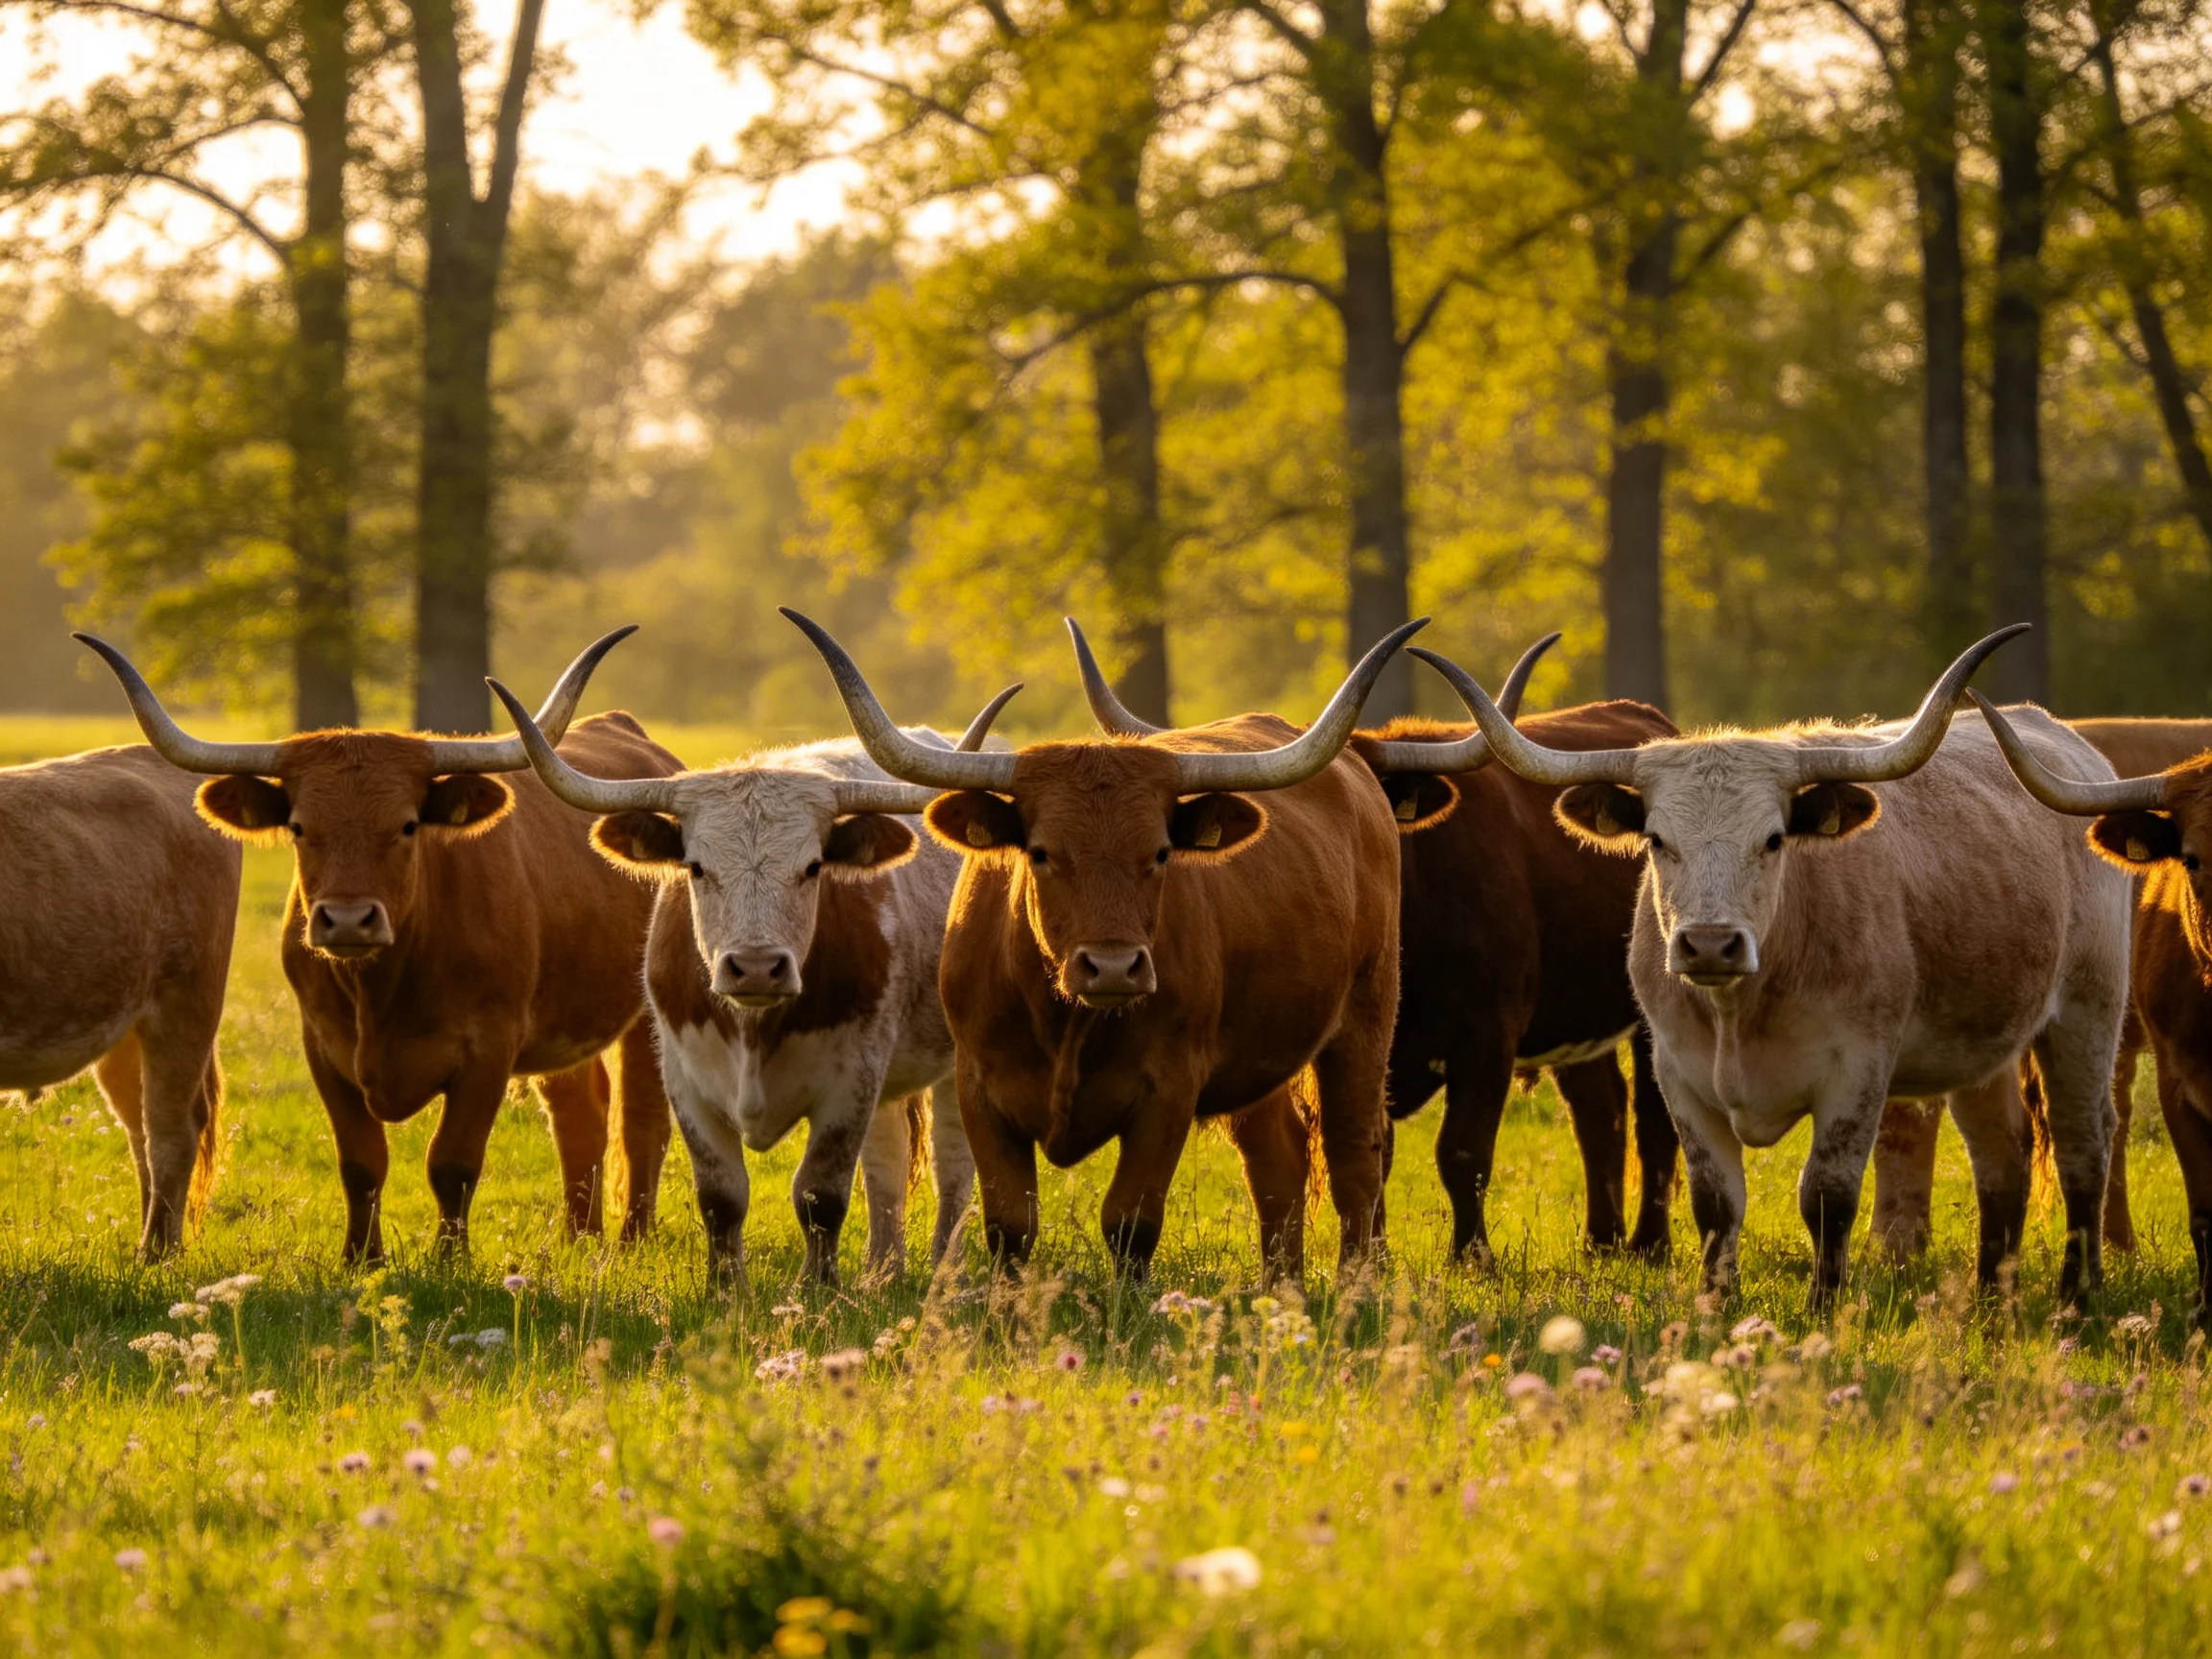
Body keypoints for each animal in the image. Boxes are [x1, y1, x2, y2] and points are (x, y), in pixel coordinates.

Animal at [78, 631, 681, 1262]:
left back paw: (632, 1240)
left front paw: (449, 1259)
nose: (347, 921)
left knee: (642, 1120)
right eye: (299, 827)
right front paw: (360, 1257)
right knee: (579, 1116)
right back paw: (578, 1240)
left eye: (408, 824)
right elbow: (361, 1162)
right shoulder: (324, 1049)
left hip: (649, 1015)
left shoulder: (489, 1050)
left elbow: (452, 1163)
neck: (383, 988)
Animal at [485, 671, 1023, 1288]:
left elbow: (820, 1195)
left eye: (813, 867)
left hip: (957, 1061)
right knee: (886, 1161)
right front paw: (726, 1289)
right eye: (696, 867)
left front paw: (818, 1287)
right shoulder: (687, 1080)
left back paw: (943, 1271)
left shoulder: (851, 1080)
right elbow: (722, 1197)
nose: (758, 966)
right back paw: (882, 1273)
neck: (755, 1027)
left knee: (951, 1164)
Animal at [784, 606, 1427, 1282]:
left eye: (1162, 852)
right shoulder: (978, 1087)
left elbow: (1130, 1223)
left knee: (1355, 1156)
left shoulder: (1169, 1092)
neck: (1064, 1021)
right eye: (1041, 853)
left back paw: (1357, 1283)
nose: (1114, 968)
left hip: (1365, 1019)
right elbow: (1010, 1224)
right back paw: (1283, 1289)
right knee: (1278, 1157)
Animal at [1065, 622, 1683, 1264]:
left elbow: (1462, 1153)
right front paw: (1379, 1253)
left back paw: (1649, 1244)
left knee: (1654, 1121)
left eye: (1376, 799)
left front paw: (1473, 1259)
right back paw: (1601, 1242)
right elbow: (1374, 1149)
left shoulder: (1488, 1039)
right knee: (1600, 1111)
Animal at [1423, 626, 2132, 1305]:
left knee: (2083, 1143)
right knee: (2001, 1153)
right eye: (1657, 839)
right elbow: (1716, 1202)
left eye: (1772, 839)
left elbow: (1826, 1196)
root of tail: (2061, 742)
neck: (1743, 1008)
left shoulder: (1856, 1075)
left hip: (2087, 1010)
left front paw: (1824, 1305)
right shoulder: (1679, 1077)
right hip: (1981, 1043)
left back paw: (2077, 1292)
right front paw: (1715, 1304)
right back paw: (1989, 1297)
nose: (1710, 944)